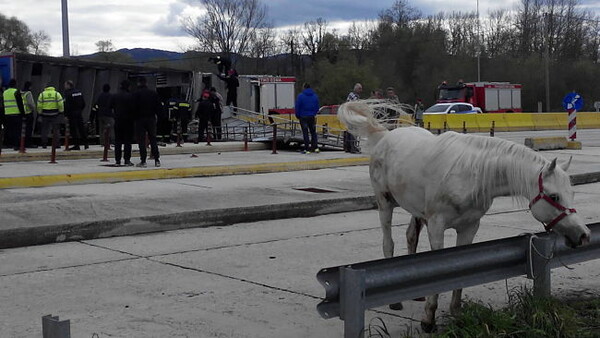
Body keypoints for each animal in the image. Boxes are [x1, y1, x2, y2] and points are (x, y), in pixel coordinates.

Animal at [338, 100, 592, 332]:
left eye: (571, 193)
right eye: (554, 196)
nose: (583, 235)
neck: (471, 174)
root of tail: (384, 137)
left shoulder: (469, 227)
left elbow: (460, 270)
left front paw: (456, 312)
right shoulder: (436, 226)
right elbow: (437, 269)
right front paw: (428, 319)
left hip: (416, 211)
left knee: (411, 236)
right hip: (385, 203)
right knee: (388, 242)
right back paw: (396, 302)